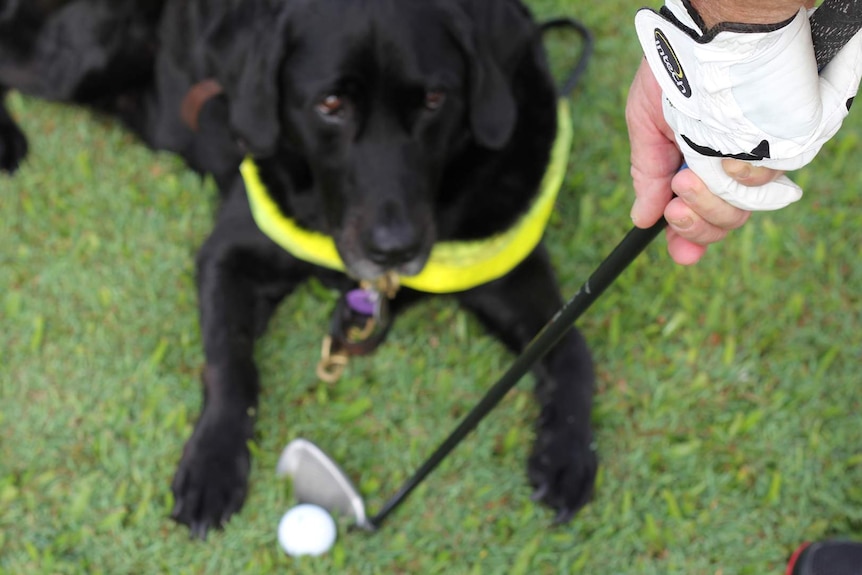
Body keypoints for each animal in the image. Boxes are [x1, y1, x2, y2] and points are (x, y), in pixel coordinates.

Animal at [0, 0, 596, 540]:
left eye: (434, 100)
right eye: (330, 104)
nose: (393, 249)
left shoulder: (510, 273)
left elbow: (571, 348)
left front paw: (568, 455)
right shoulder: (227, 254)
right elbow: (232, 365)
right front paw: (213, 465)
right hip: (88, 54)